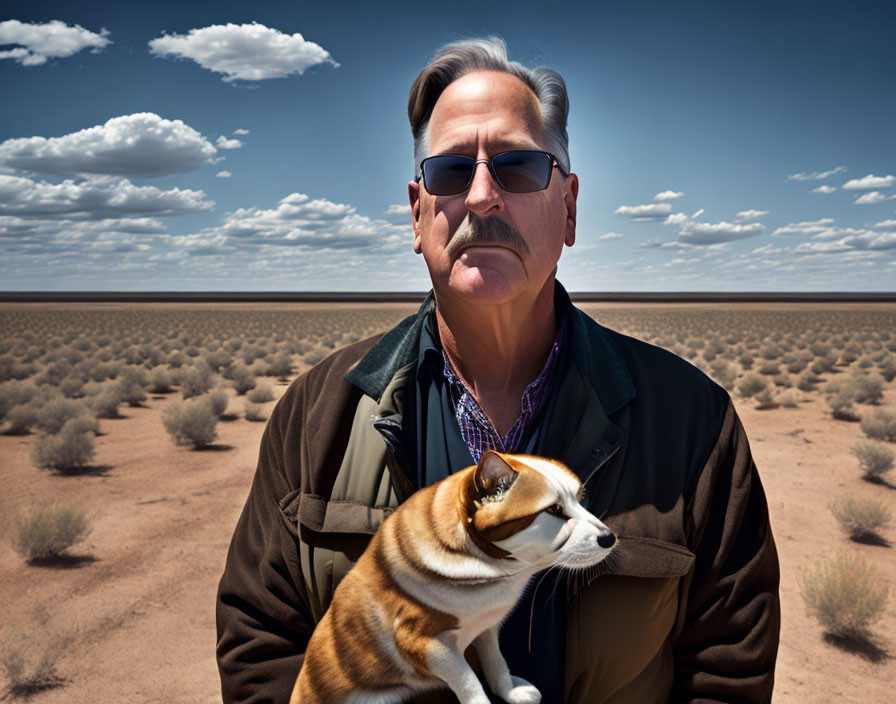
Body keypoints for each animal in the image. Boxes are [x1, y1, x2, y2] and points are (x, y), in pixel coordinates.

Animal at [294, 452, 616, 704]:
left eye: (578, 499)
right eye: (554, 510)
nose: (610, 538)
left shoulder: (487, 628)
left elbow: (496, 663)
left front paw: (510, 692)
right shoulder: (429, 647)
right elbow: (470, 684)